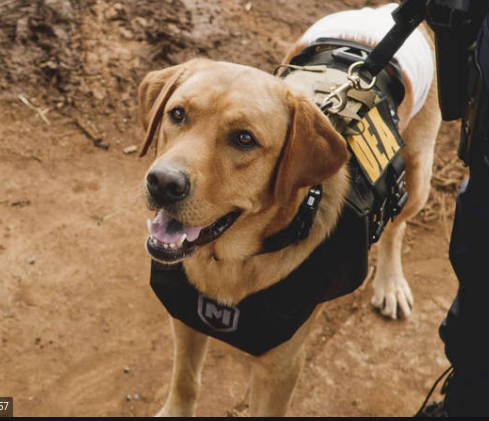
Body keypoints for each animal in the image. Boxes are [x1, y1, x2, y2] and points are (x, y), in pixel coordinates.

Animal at [138, 3, 441, 417]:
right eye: (178, 114)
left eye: (244, 139)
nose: (163, 183)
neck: (231, 264)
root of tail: (383, 13)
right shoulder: (184, 318)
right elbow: (185, 381)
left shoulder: (281, 365)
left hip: (418, 173)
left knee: (396, 227)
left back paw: (390, 283)